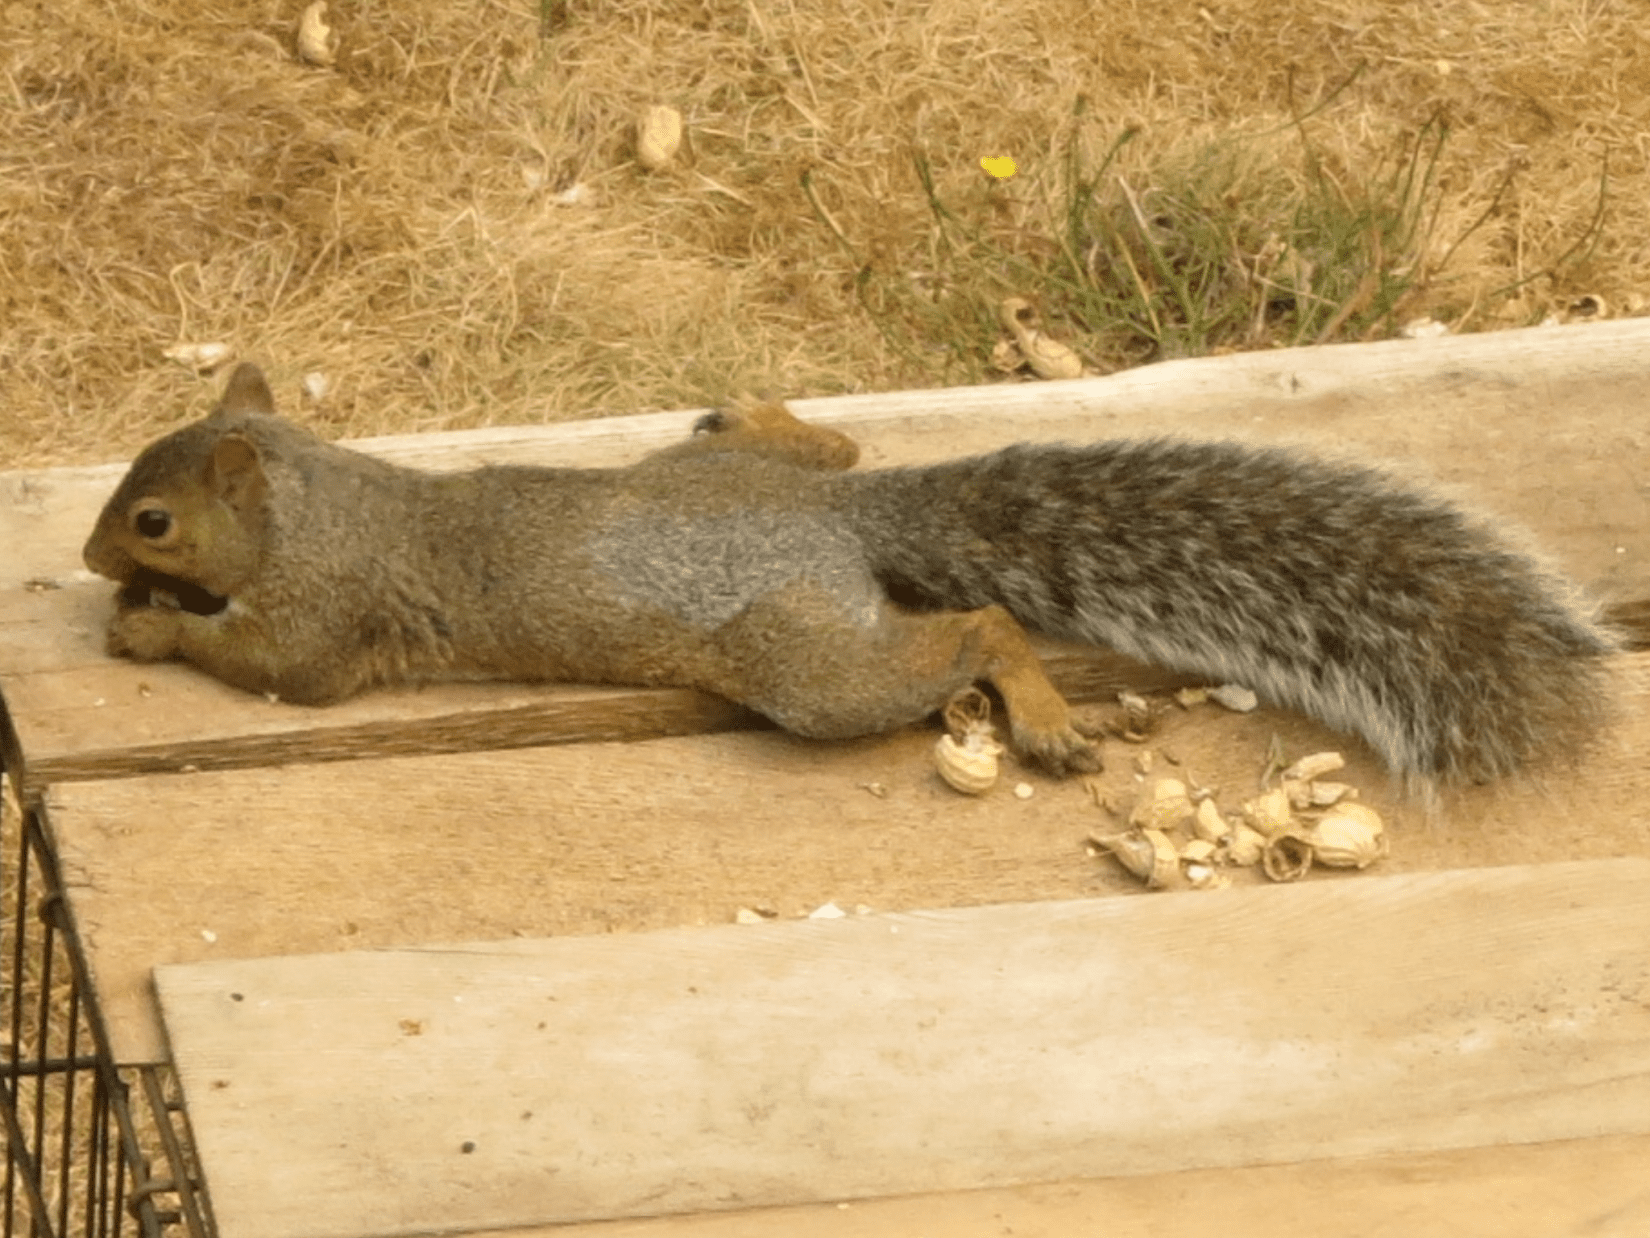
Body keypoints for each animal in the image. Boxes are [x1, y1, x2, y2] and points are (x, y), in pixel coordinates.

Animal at [83, 361, 1617, 785]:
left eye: (151, 519)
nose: (96, 553)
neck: (315, 497)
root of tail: (840, 524)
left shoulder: (326, 619)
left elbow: (276, 669)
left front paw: (148, 631)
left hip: (807, 662)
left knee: (977, 623)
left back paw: (1037, 709)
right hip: (739, 481)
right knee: (824, 440)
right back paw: (769, 417)